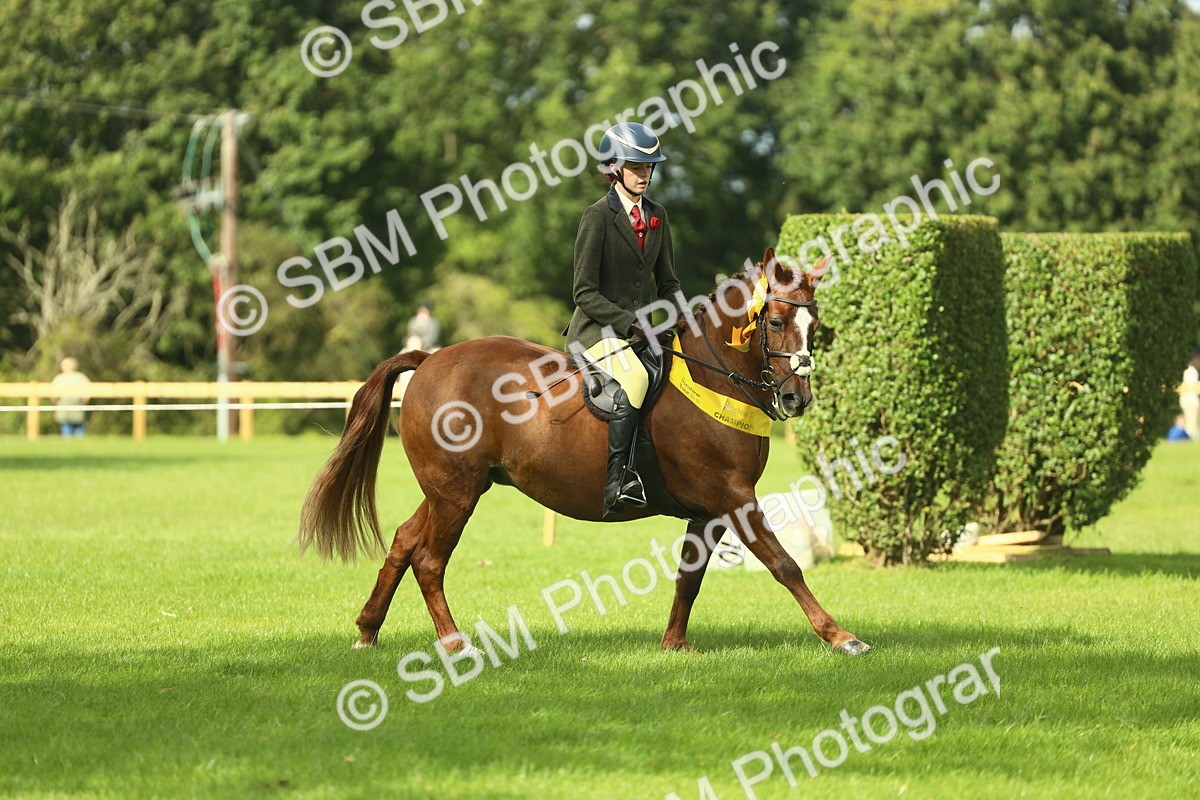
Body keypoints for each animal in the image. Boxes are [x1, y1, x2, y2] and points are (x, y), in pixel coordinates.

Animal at [296, 247, 870, 656]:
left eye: (816, 326)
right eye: (774, 323)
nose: (796, 399)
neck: (714, 377)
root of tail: (430, 359)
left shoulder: (708, 509)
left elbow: (689, 577)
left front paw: (674, 645)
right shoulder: (731, 495)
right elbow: (784, 564)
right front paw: (841, 637)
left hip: (450, 488)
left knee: (403, 541)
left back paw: (367, 630)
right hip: (456, 494)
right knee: (430, 560)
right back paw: (455, 645)